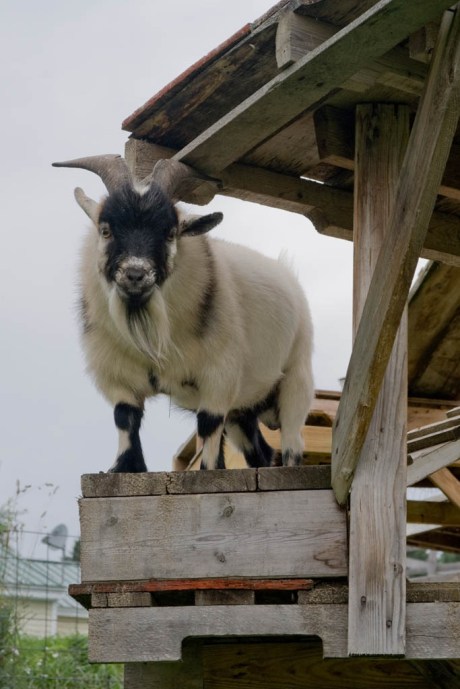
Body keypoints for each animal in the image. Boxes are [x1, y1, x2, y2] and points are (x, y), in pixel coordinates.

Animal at [53, 154, 314, 472]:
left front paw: (208, 472)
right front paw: (123, 466)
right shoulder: (117, 376)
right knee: (260, 452)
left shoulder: (219, 376)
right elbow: (125, 418)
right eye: (105, 229)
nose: (135, 274)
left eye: (170, 233)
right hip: (243, 409)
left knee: (291, 445)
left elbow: (208, 426)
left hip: (297, 379)